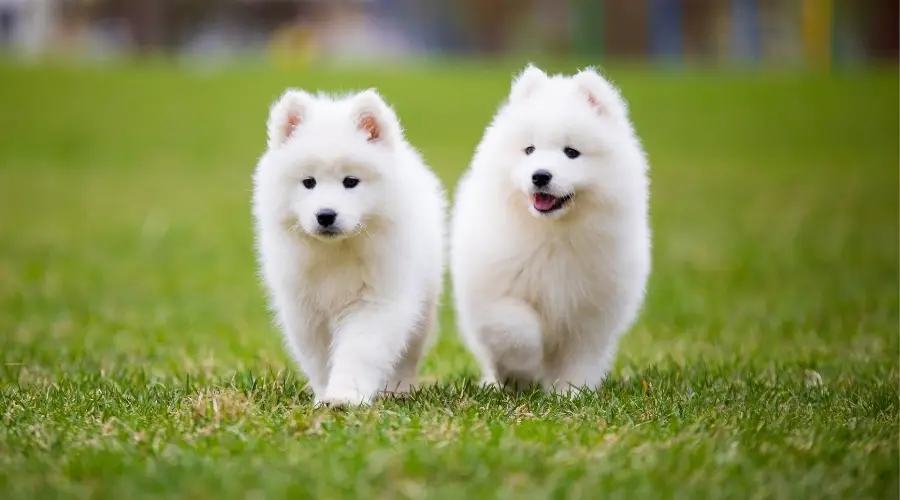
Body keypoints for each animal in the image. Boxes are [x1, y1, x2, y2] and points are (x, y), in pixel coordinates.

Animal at [250, 87, 446, 406]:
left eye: (351, 181)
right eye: (309, 182)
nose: (326, 215)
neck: (337, 251)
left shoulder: (377, 301)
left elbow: (359, 351)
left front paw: (344, 397)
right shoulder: (305, 310)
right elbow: (318, 359)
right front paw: (324, 396)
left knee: (409, 352)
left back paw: (398, 389)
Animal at [450, 65, 652, 394]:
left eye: (571, 152)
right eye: (529, 150)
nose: (540, 175)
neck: (553, 235)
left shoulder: (589, 313)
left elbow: (578, 359)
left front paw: (570, 393)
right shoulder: (494, 293)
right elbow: (516, 327)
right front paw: (524, 365)